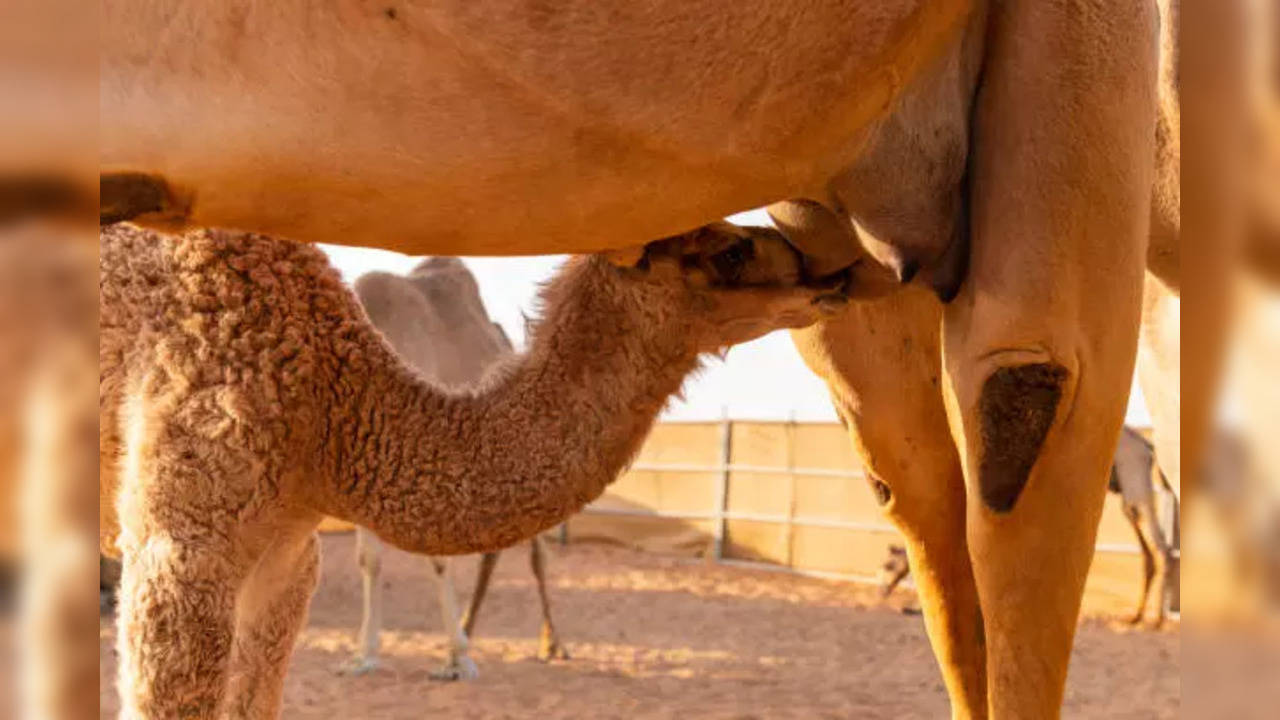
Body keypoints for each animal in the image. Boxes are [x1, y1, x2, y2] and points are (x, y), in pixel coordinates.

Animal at [335, 258, 565, 676]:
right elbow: (368, 560)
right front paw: (364, 655)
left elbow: (437, 557)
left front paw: (458, 660)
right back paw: (470, 627)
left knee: (536, 552)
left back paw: (551, 643)